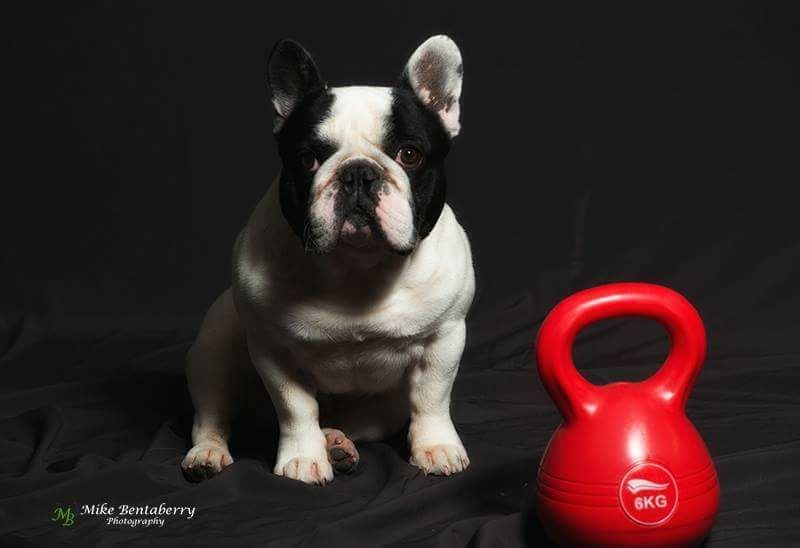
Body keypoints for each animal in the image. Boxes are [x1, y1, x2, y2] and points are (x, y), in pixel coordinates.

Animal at [184, 35, 472, 484]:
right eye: (307, 159)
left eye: (409, 155)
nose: (358, 173)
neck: (357, 268)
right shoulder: (274, 351)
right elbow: (296, 408)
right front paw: (303, 457)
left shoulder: (444, 337)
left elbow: (431, 399)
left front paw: (436, 447)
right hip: (214, 348)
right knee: (212, 413)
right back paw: (208, 454)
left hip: (378, 413)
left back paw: (337, 443)